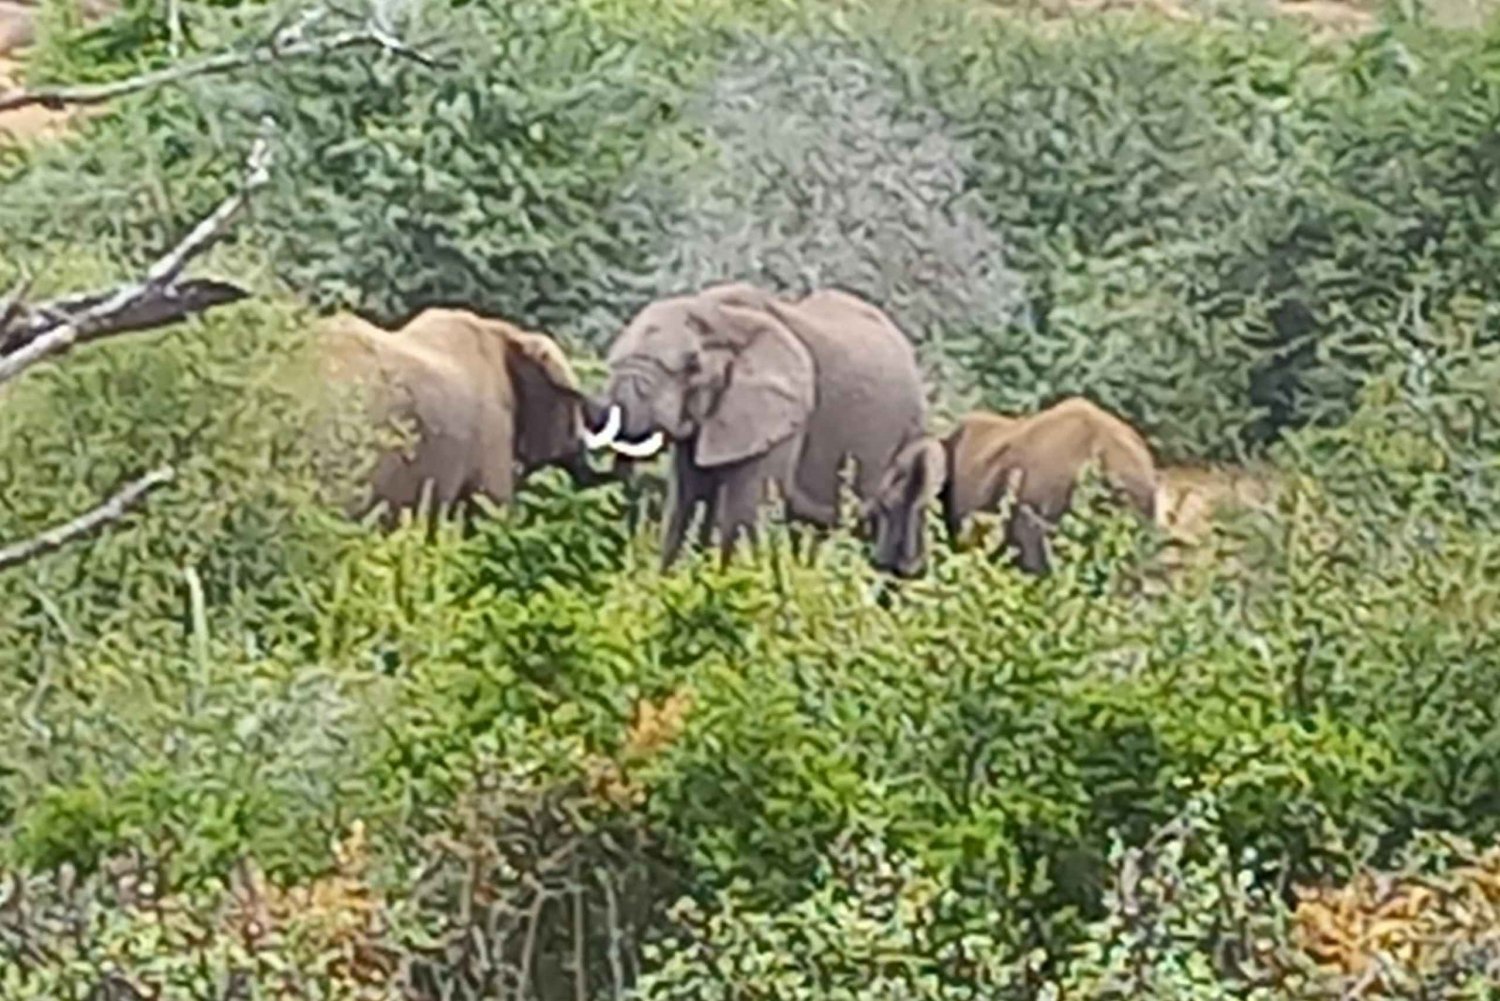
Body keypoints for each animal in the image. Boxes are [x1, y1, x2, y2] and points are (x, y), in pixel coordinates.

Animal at [582, 282, 924, 567]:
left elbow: (743, 515)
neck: (720, 315)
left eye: (692, 365)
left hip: (909, 429)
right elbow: (686, 505)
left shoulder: (782, 414)